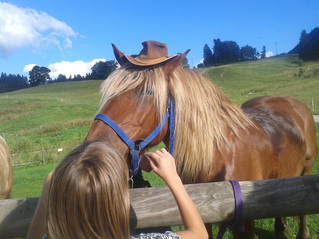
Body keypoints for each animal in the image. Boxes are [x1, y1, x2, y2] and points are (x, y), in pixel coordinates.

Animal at [85, 41, 318, 239]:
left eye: (148, 92)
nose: (93, 148)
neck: (218, 154)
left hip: (306, 170)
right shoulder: (203, 213)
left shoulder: (245, 222)